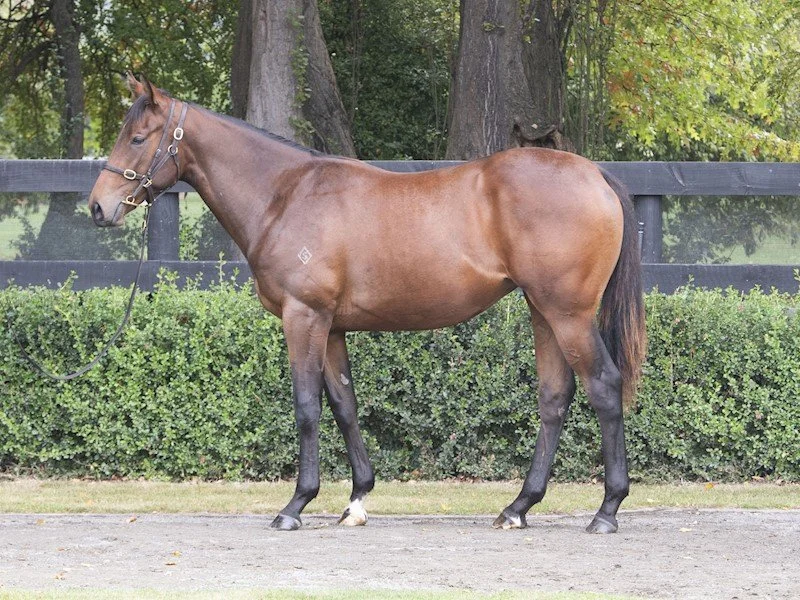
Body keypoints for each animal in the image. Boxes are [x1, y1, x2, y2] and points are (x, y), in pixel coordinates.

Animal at [88, 74, 646, 534]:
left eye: (137, 138)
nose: (98, 207)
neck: (284, 195)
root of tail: (596, 176)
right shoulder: (332, 326)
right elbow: (344, 404)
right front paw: (356, 500)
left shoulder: (303, 317)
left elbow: (307, 406)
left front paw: (296, 505)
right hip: (542, 311)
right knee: (554, 398)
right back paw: (518, 507)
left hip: (567, 314)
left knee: (603, 386)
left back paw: (607, 510)